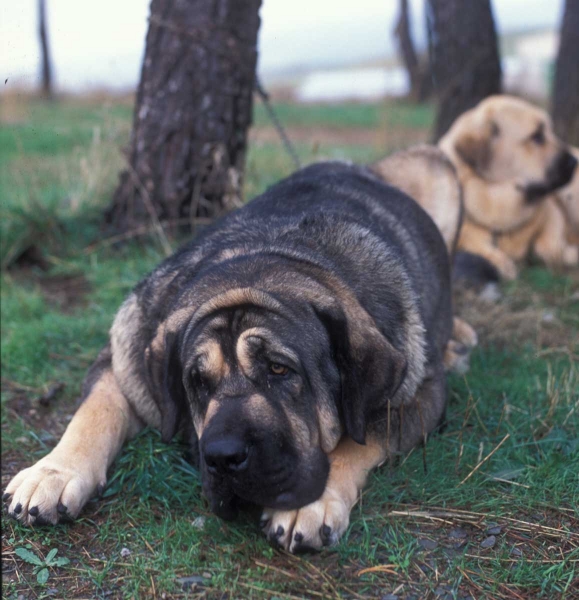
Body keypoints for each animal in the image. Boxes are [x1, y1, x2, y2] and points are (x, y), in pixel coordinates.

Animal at [5, 163, 458, 552]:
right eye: (197, 382)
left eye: (279, 369)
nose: (223, 457)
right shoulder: (126, 355)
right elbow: (94, 412)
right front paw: (52, 473)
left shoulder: (420, 397)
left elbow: (359, 438)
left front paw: (311, 504)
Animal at [442, 95, 576, 280]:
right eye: (537, 136)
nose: (575, 162)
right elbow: (475, 246)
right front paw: (501, 262)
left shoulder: (553, 214)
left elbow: (549, 244)